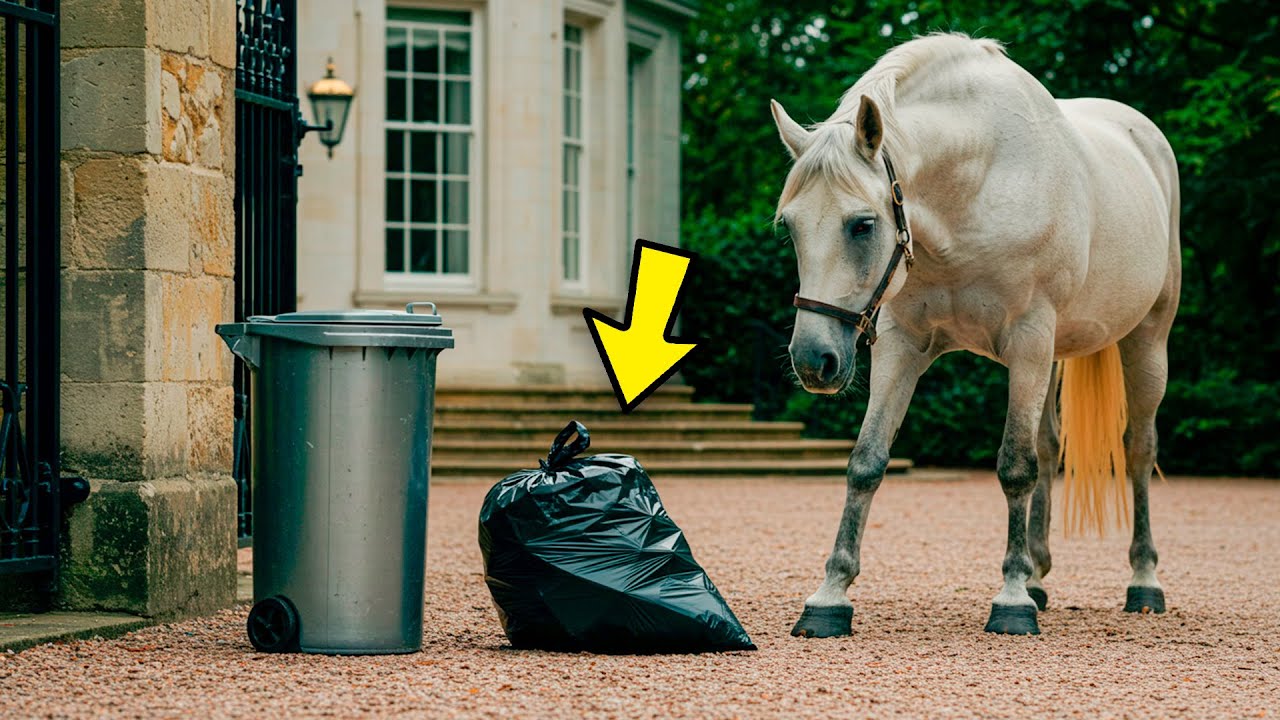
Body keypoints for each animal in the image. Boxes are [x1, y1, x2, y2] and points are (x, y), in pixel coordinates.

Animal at [770, 33, 1181, 636]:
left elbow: (1014, 467)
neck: (975, 186)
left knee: (1137, 450)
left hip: (1146, 341)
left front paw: (1010, 601)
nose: (812, 360)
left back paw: (1143, 581)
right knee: (1050, 447)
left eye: (862, 224)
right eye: (790, 226)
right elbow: (866, 462)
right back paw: (1039, 578)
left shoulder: (1029, 339)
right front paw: (829, 598)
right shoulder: (902, 345)